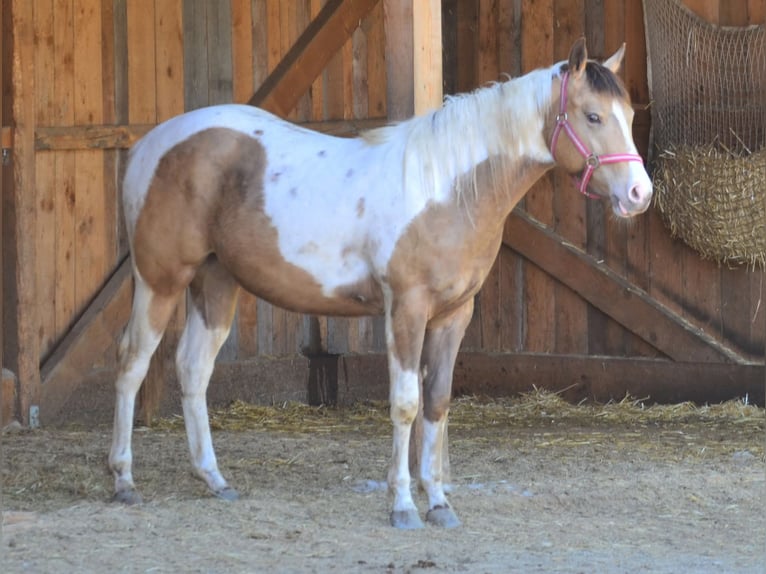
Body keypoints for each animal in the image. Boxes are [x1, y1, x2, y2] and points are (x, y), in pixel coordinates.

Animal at [109, 38, 652, 529]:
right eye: (592, 116)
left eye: (626, 114)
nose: (639, 194)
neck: (443, 190)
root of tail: (150, 145)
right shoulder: (406, 310)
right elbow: (407, 405)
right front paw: (404, 507)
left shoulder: (453, 316)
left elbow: (437, 404)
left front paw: (440, 504)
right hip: (160, 281)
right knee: (133, 364)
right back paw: (124, 481)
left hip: (216, 281)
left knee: (193, 368)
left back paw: (214, 479)